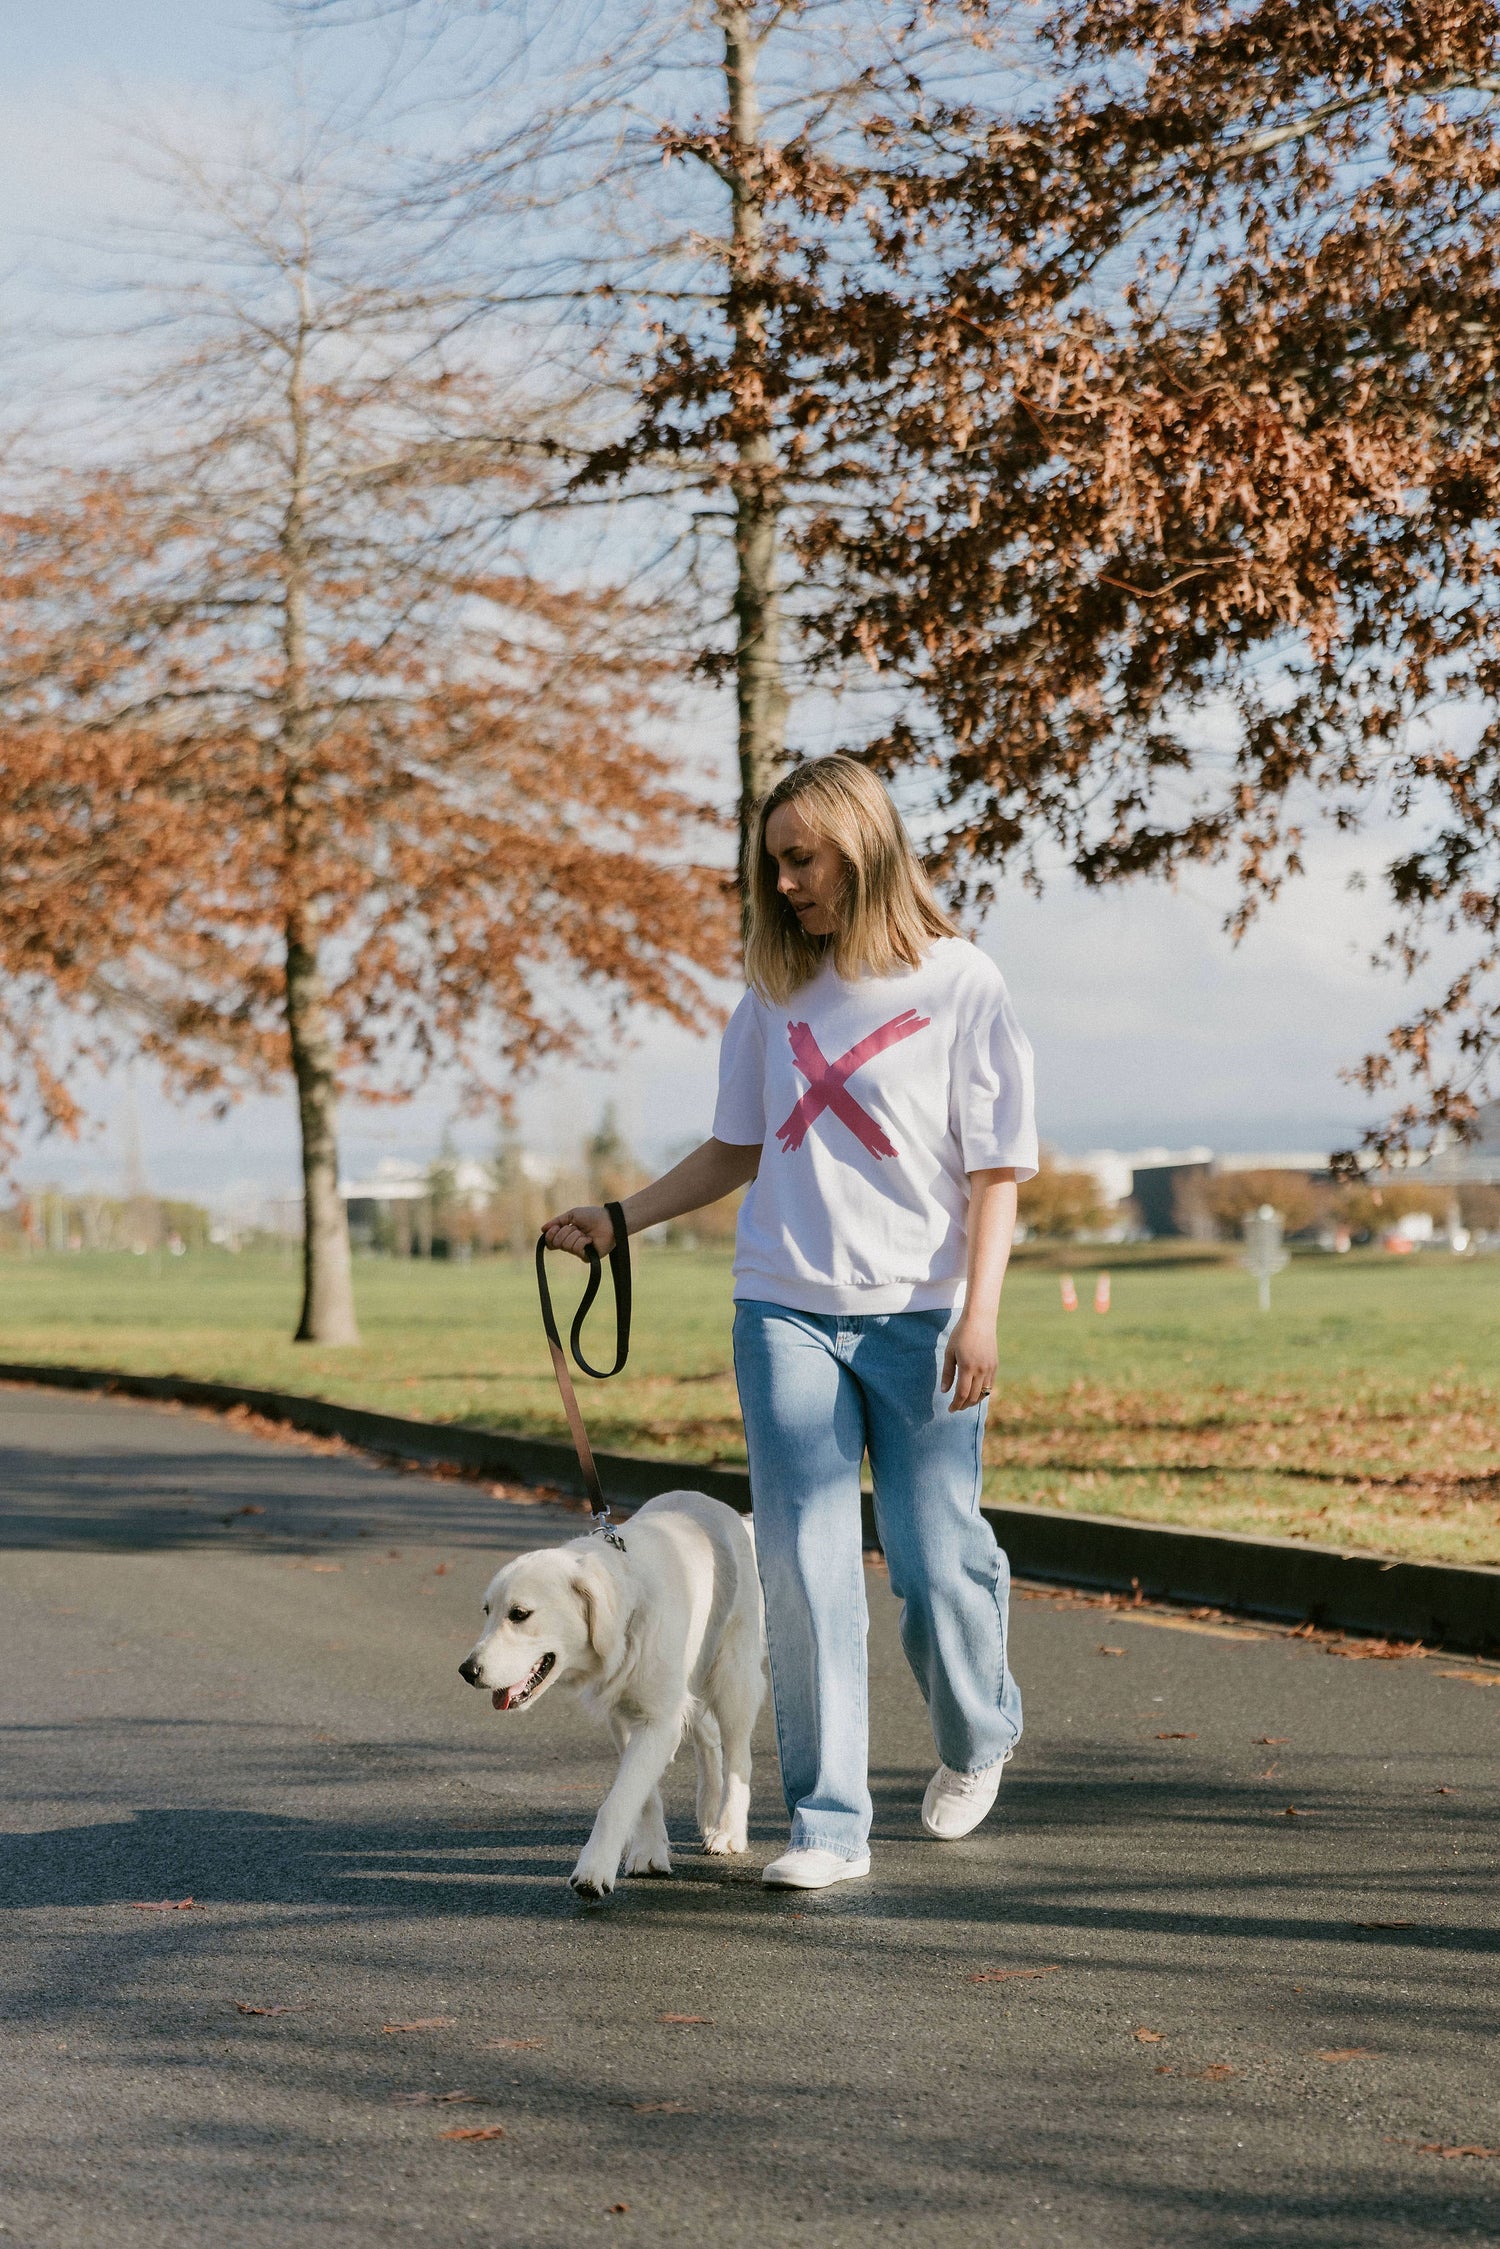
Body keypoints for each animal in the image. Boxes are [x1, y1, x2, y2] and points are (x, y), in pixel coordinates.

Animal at [454, 1493, 764, 1898]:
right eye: (487, 1611)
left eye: (519, 1614)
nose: (467, 1671)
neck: (627, 1613)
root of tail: (718, 1506)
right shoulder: (624, 1718)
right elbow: (642, 1796)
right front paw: (649, 1851)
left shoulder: (659, 1721)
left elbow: (619, 1801)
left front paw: (594, 1870)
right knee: (708, 1737)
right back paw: (709, 1812)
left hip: (732, 1675)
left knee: (738, 1754)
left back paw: (727, 1831)